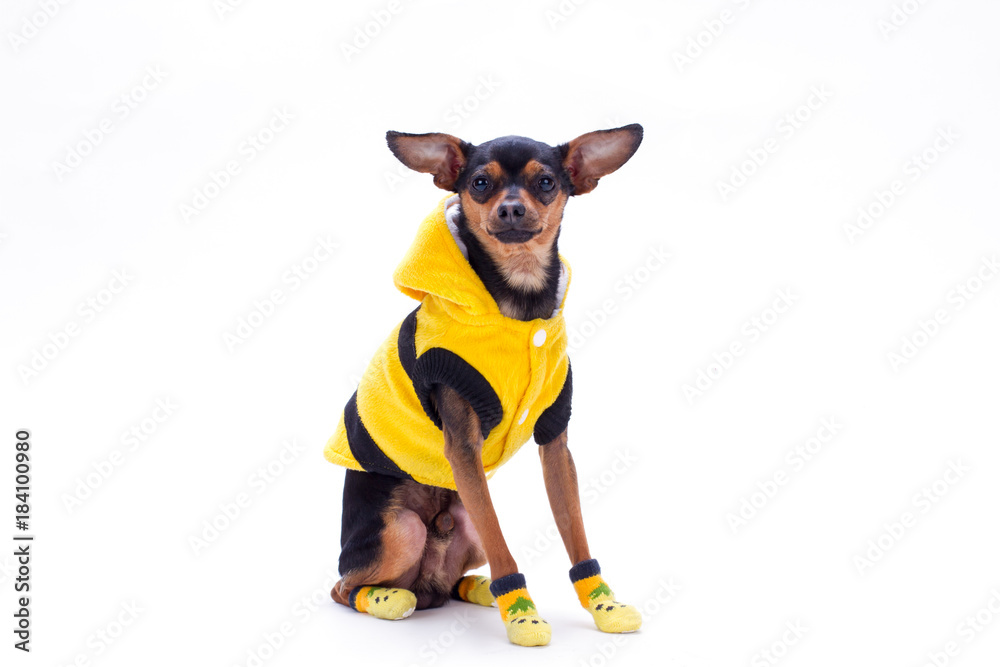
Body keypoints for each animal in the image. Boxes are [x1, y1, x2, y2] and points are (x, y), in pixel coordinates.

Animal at [324, 124, 644, 648]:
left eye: (546, 183)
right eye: (479, 183)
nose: (511, 208)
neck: (518, 304)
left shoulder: (555, 443)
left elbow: (575, 530)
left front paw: (604, 605)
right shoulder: (463, 446)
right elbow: (502, 546)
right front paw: (522, 616)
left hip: (463, 524)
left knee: (450, 577)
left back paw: (472, 589)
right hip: (402, 530)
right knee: (343, 586)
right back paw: (390, 598)